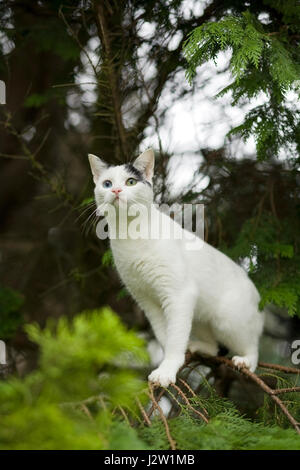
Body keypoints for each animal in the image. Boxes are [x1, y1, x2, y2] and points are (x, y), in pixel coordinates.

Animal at [88, 150, 264, 386]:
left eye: (130, 182)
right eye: (107, 184)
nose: (116, 190)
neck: (129, 233)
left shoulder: (179, 294)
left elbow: (174, 339)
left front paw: (167, 370)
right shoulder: (147, 301)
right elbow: (166, 336)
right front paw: (170, 363)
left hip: (228, 320)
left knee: (252, 346)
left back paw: (245, 361)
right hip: (198, 316)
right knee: (213, 346)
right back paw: (197, 346)